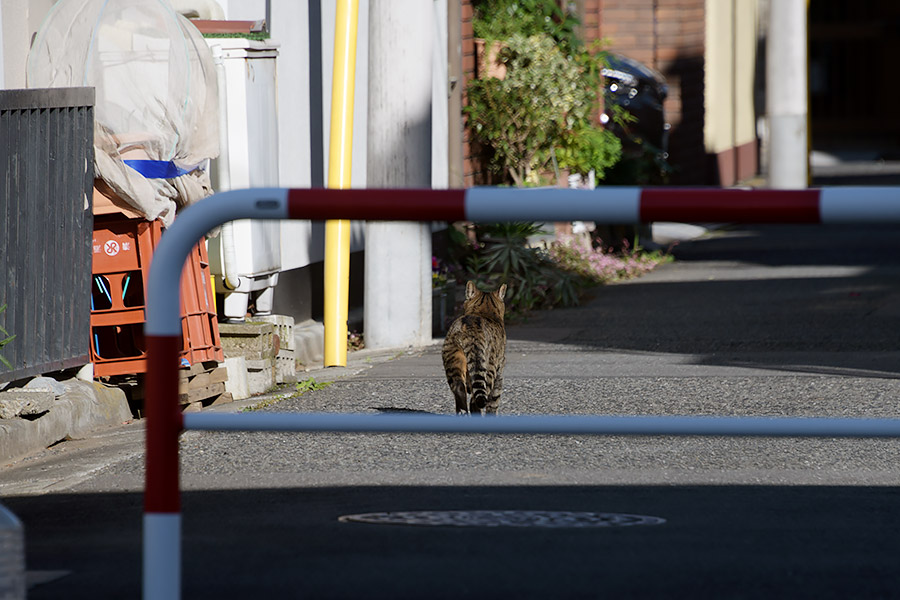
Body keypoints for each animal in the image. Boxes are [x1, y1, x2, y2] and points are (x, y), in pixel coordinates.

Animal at [442, 280, 506, 412]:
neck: (483, 311)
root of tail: (468, 326)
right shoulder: (499, 370)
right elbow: (494, 402)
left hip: (453, 358)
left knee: (459, 388)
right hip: (489, 367)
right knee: (476, 401)